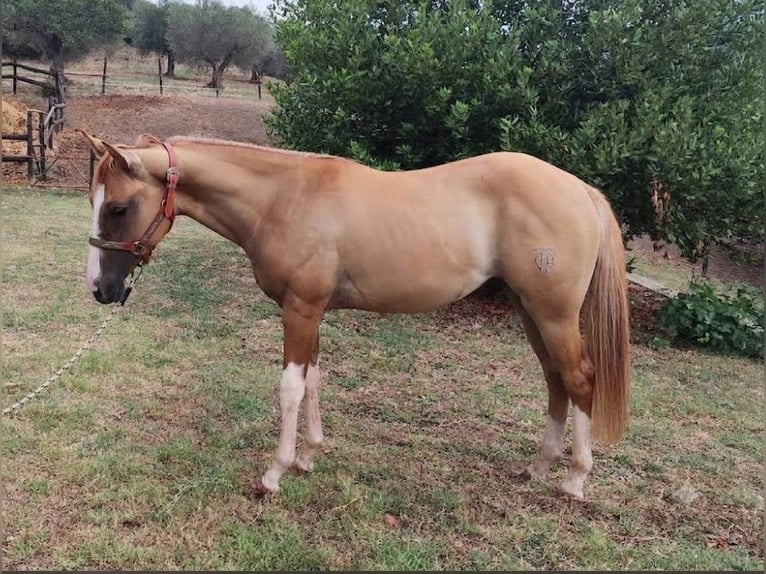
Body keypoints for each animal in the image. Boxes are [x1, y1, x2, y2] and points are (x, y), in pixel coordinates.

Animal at [81, 131, 630, 501]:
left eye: (119, 208)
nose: (100, 289)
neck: (284, 199)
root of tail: (580, 190)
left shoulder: (300, 310)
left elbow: (291, 387)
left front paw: (275, 473)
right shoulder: (313, 312)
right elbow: (314, 380)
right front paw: (308, 456)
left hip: (554, 314)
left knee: (580, 379)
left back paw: (575, 479)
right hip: (530, 311)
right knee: (555, 379)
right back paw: (539, 467)